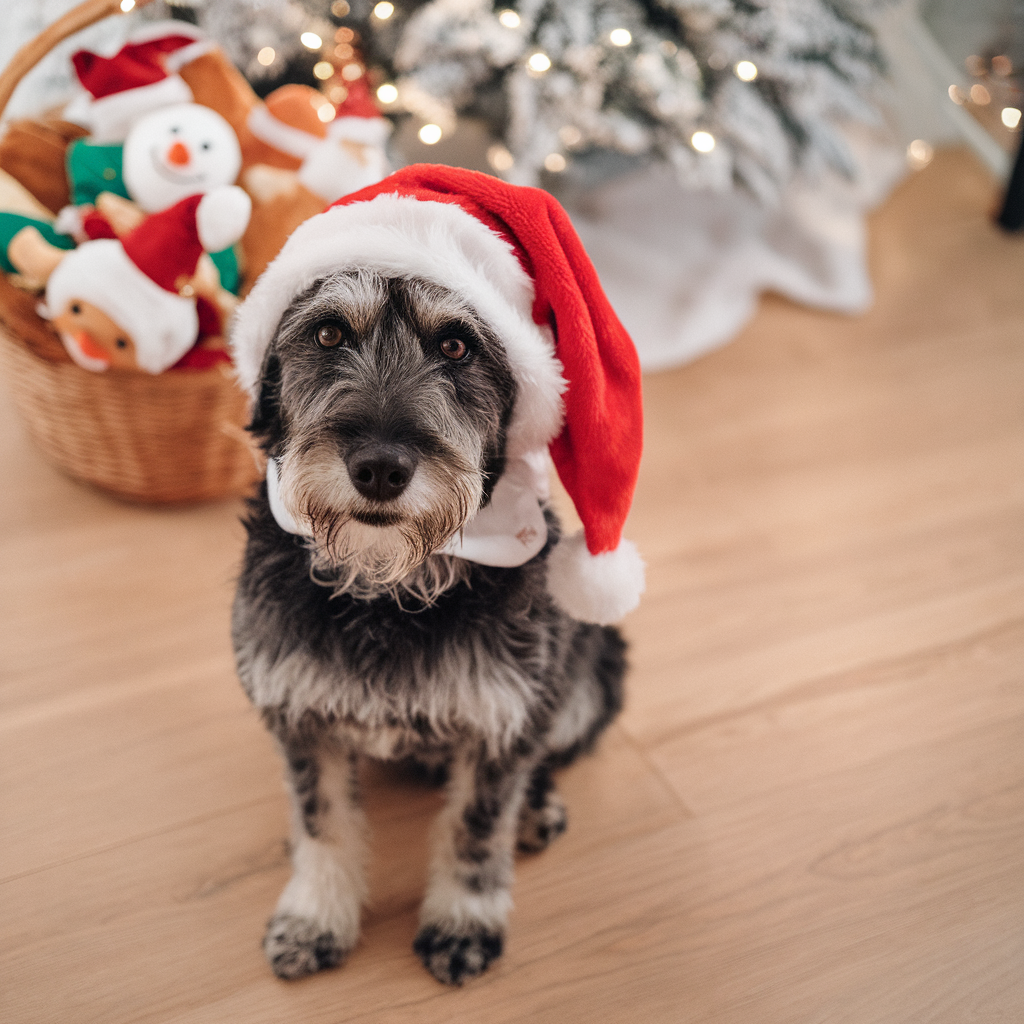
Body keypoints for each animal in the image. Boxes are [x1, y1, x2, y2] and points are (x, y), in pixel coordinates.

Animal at [231, 163, 643, 987]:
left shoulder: (503, 721)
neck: (389, 586)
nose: (381, 468)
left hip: (588, 676)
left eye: (456, 346)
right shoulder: (300, 717)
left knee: (546, 758)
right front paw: (316, 914)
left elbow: (476, 829)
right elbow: (322, 820)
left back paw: (536, 809)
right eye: (328, 332)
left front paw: (463, 920)